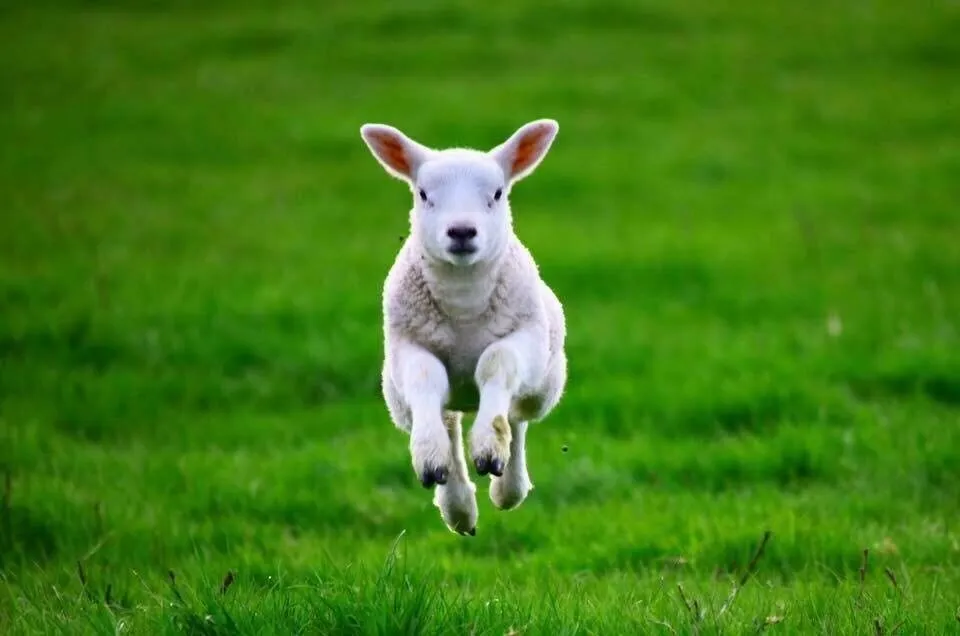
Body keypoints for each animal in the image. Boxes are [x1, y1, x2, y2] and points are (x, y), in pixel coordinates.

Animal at [358, 119, 568, 536]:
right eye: (423, 194)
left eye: (497, 194)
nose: (461, 231)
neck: (464, 303)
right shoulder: (409, 346)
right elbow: (426, 378)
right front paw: (429, 457)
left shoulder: (524, 338)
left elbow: (496, 364)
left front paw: (489, 446)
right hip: (401, 400)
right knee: (447, 421)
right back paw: (457, 504)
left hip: (543, 384)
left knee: (517, 416)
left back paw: (507, 485)